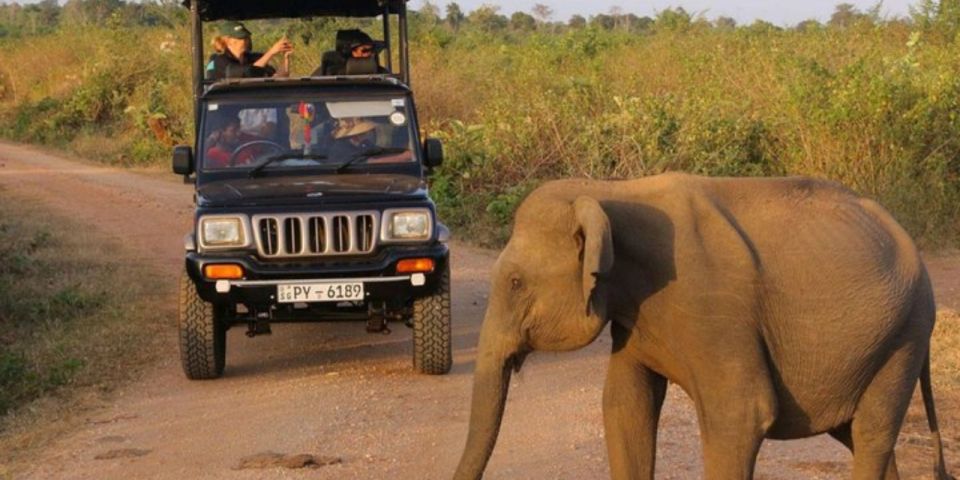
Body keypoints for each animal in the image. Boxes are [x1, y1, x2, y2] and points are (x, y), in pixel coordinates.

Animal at [454, 173, 948, 480]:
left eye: (515, 283)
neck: (610, 192)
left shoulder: (713, 306)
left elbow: (740, 414)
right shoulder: (634, 317)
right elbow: (625, 406)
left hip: (904, 335)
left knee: (871, 431)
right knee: (857, 433)